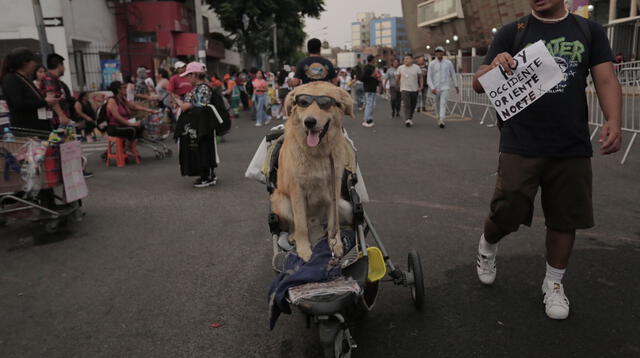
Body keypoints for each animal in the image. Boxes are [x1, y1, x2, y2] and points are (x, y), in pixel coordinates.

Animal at [272, 80, 356, 260]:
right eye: (303, 102)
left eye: (325, 103)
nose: (309, 122)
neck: (319, 154)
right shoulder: (297, 191)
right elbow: (301, 225)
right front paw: (304, 249)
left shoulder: (333, 188)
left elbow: (333, 223)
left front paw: (336, 243)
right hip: (281, 200)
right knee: (293, 225)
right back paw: (293, 237)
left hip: (346, 206)